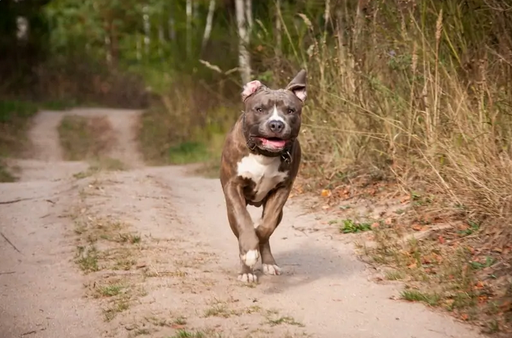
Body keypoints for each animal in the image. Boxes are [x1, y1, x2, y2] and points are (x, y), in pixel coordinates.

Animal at [218, 70, 306, 282]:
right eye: (259, 109)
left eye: (290, 110)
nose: (276, 124)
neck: (263, 154)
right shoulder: (233, 187)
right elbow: (244, 222)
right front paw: (249, 253)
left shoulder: (282, 189)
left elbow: (266, 226)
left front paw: (258, 238)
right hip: (230, 210)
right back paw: (246, 270)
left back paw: (268, 263)